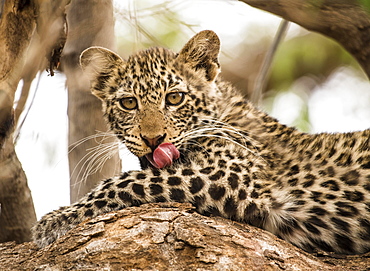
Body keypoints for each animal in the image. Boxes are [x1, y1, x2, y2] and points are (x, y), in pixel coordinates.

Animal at [32, 30, 370, 255]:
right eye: (129, 103)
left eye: (174, 98)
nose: (153, 139)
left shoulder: (233, 175)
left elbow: (130, 180)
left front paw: (56, 219)